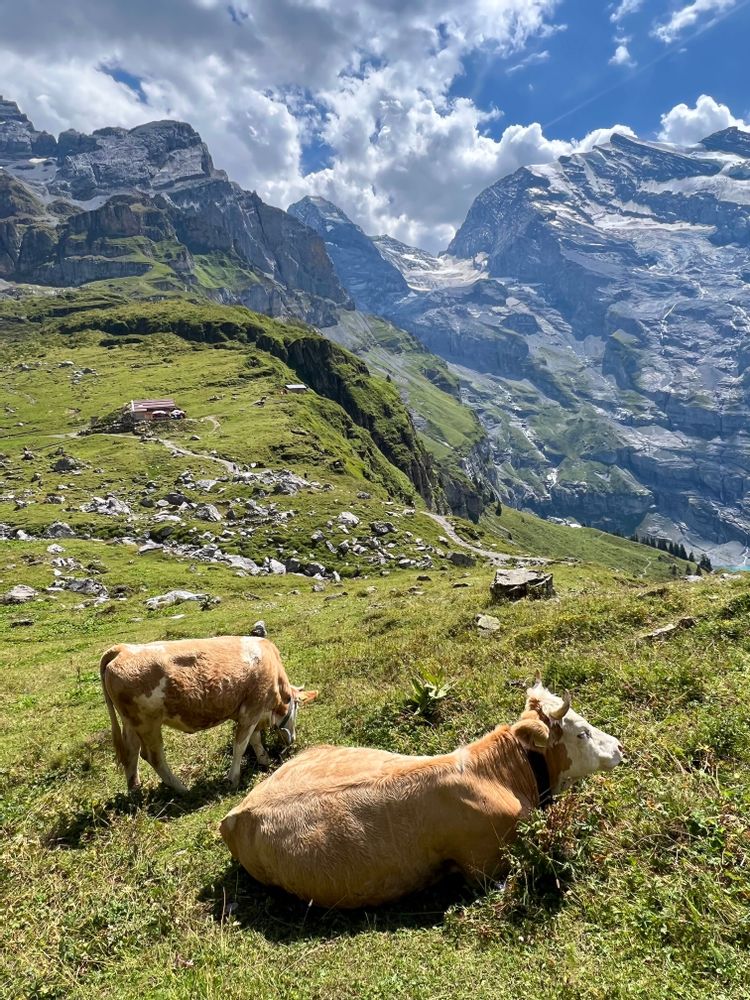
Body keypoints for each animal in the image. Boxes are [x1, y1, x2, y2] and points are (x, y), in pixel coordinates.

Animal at [99, 636, 317, 793]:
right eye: (297, 708)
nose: (292, 739)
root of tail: (122, 649)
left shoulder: (252, 712)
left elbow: (254, 739)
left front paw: (264, 760)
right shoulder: (251, 710)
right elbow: (240, 745)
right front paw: (233, 779)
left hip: (130, 722)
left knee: (131, 751)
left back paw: (135, 790)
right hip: (147, 723)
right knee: (153, 756)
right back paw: (182, 789)